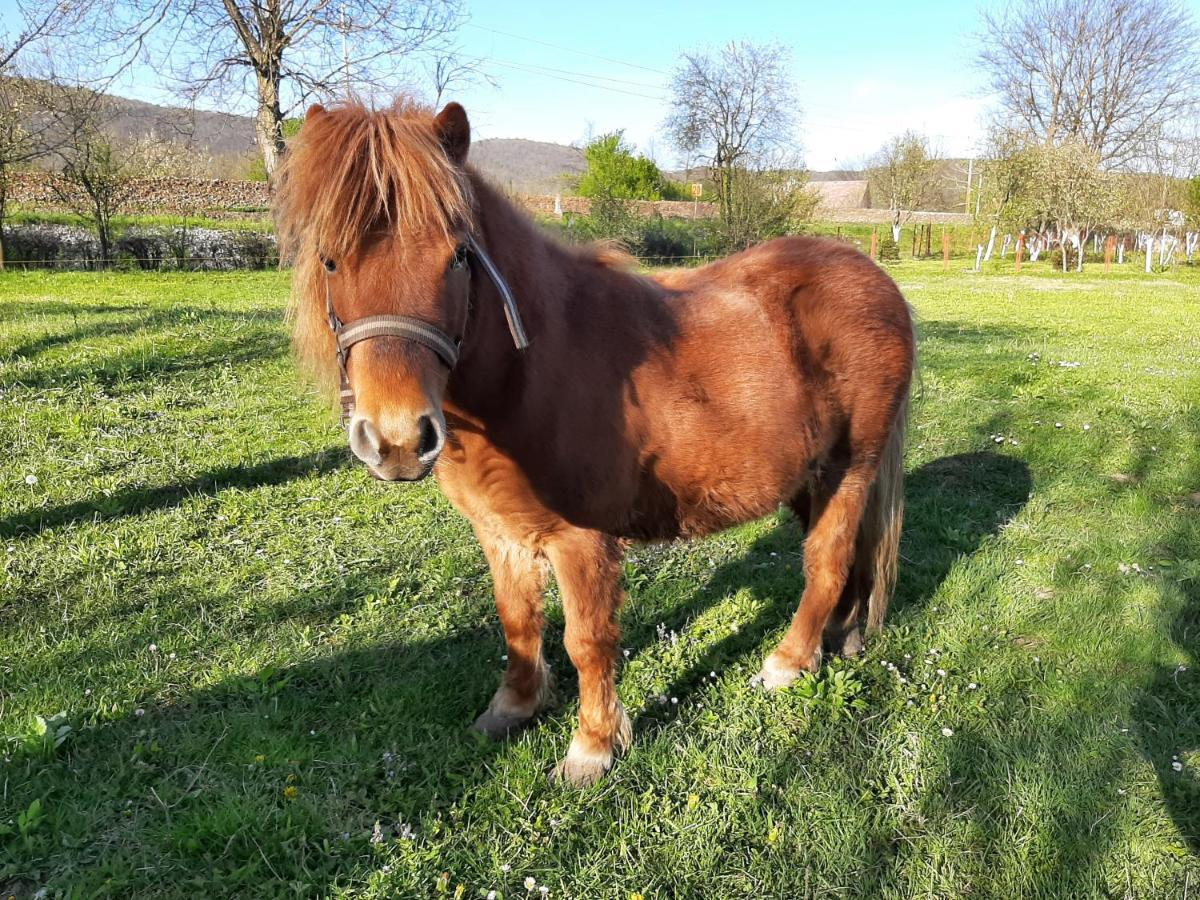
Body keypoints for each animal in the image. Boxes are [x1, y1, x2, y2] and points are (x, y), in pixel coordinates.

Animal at [276, 97, 912, 787]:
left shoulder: (581, 543)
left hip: (849, 469)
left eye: (457, 257)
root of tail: (873, 278)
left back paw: (790, 661)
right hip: (806, 479)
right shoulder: (500, 533)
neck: (531, 375)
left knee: (827, 561)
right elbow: (517, 622)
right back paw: (842, 638)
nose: (397, 438)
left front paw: (593, 746)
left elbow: (586, 641)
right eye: (330, 260)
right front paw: (514, 707)